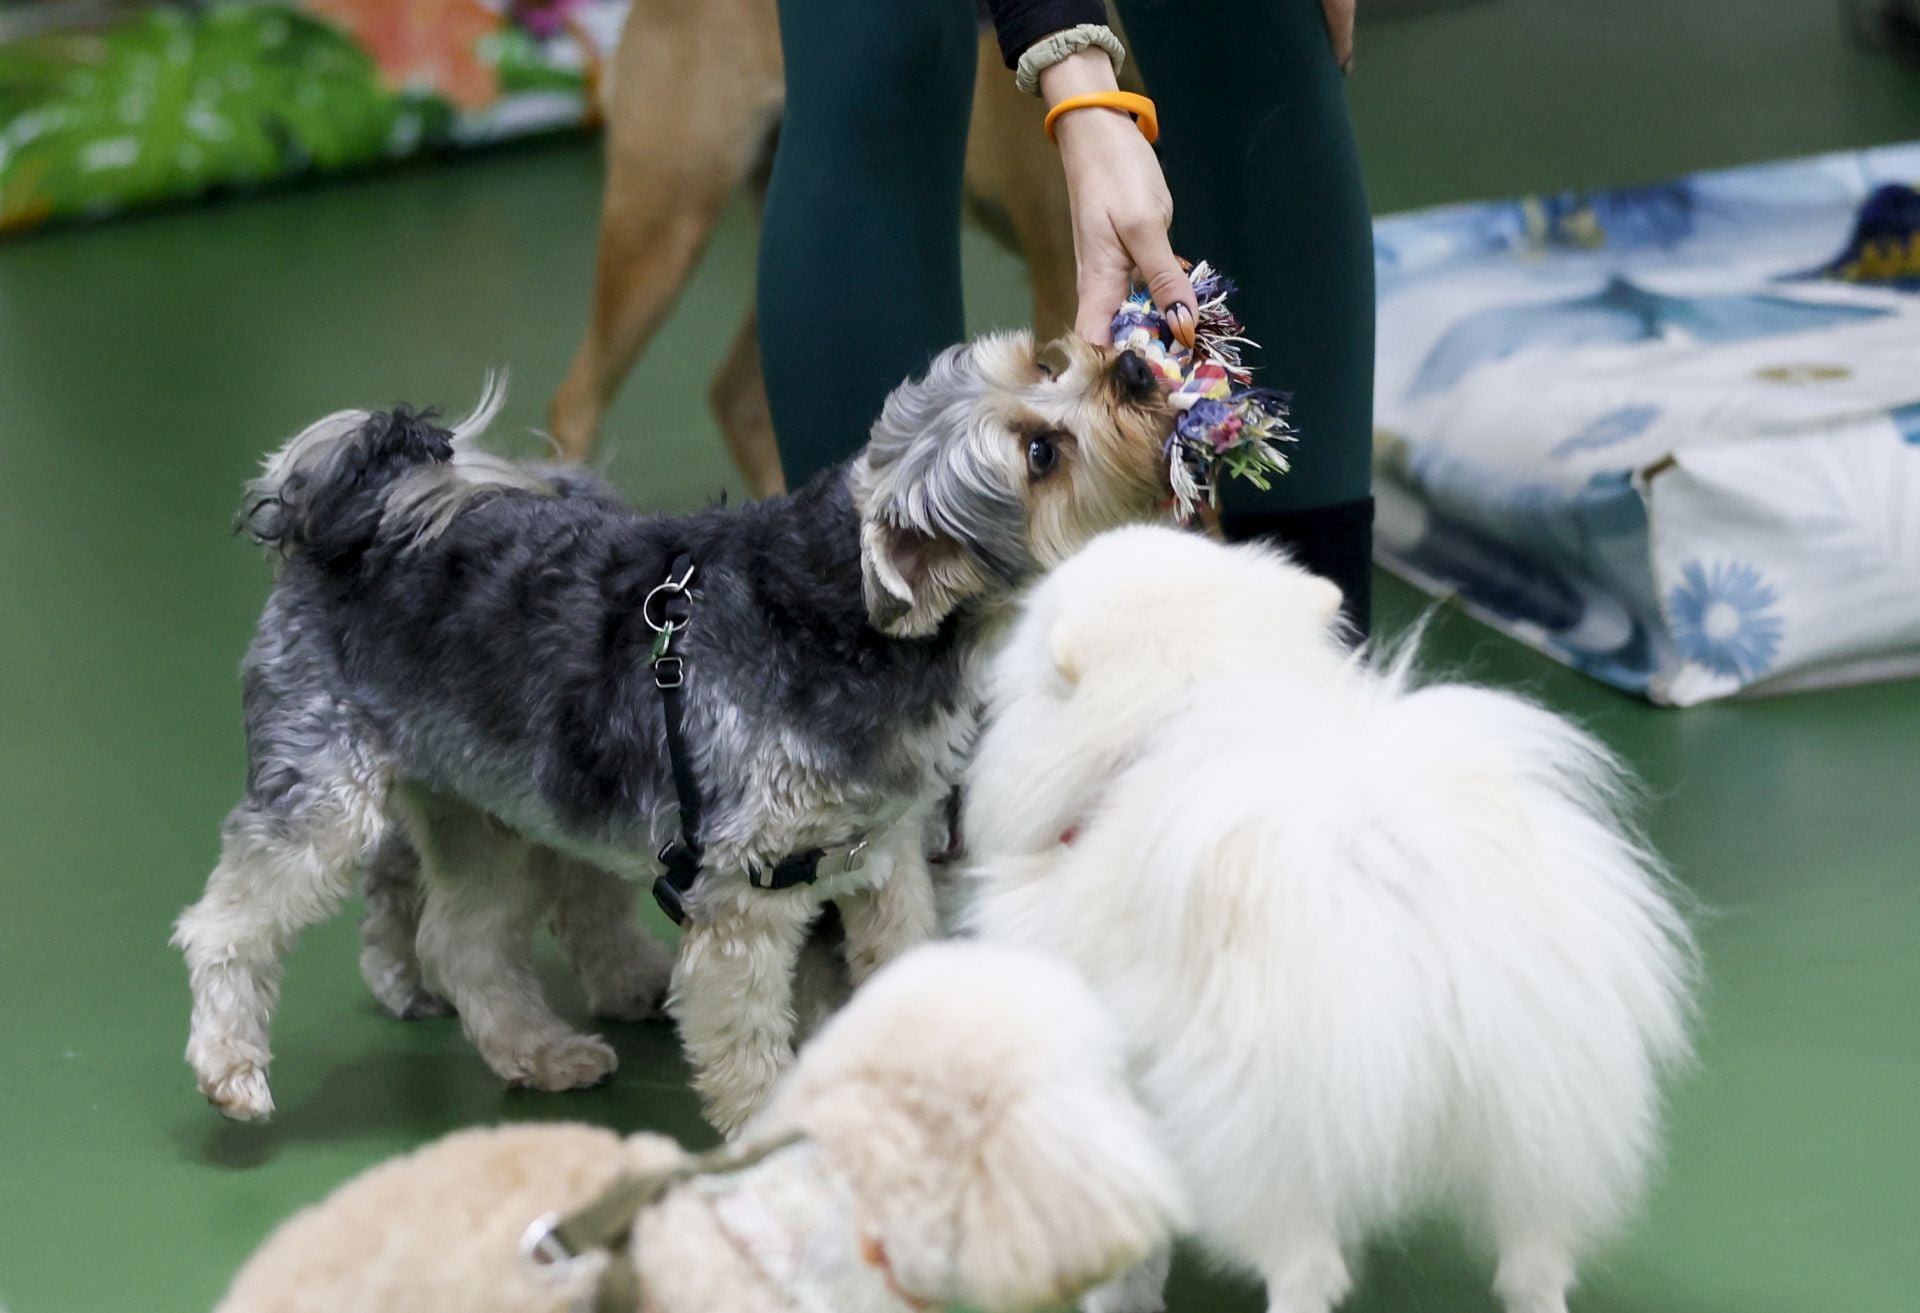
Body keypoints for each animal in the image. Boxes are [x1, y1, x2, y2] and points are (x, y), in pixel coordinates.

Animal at [176, 334, 1167, 1136]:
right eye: (1041, 453)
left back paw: (541, 1050)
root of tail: (345, 516)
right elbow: (749, 1044)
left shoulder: (881, 867)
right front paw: (773, 1136)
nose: (1135, 367)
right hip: (327, 798)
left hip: (483, 808)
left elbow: (897, 973)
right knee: (230, 923)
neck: (841, 621)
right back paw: (229, 1066)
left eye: (1041, 365)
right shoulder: (742, 901)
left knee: (464, 939)